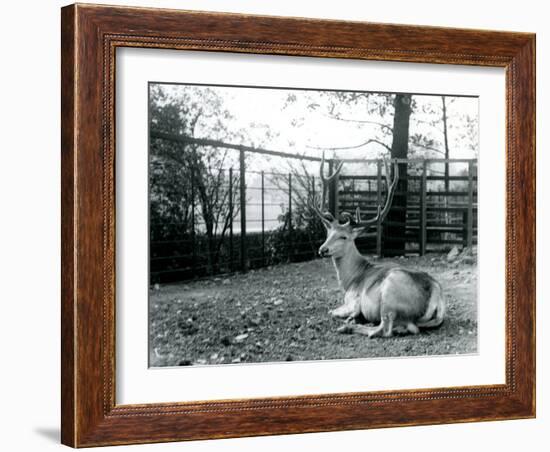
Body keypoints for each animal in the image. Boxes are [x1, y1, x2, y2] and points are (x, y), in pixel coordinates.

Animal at [312, 155, 446, 336]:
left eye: (344, 237)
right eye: (328, 234)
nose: (322, 249)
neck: (350, 281)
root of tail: (435, 291)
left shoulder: (353, 300)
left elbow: (332, 311)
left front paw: (350, 318)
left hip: (390, 295)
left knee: (384, 329)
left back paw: (349, 327)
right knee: (408, 327)